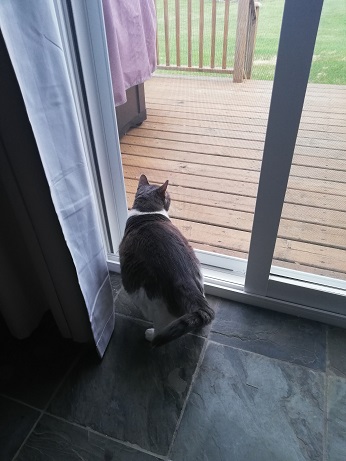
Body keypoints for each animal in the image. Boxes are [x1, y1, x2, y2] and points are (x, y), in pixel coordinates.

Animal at [119, 174, 214, 346]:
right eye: (168, 196)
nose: (171, 198)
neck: (146, 211)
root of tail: (184, 280)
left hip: (152, 301)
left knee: (161, 328)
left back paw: (151, 335)